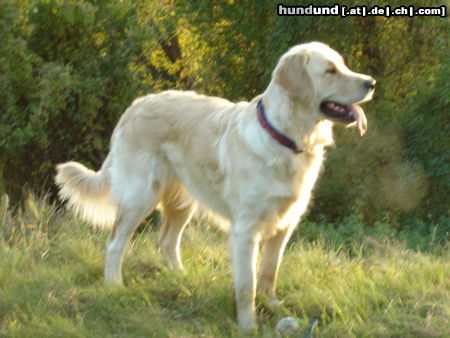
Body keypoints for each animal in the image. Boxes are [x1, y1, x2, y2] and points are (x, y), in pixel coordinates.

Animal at [55, 41, 372, 330]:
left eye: (343, 65)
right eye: (330, 70)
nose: (371, 83)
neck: (286, 138)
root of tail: (134, 106)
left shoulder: (285, 224)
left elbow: (269, 273)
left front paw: (274, 308)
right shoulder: (245, 230)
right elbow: (247, 286)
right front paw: (248, 326)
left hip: (183, 200)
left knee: (167, 240)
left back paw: (180, 278)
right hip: (140, 196)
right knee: (115, 242)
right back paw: (114, 285)